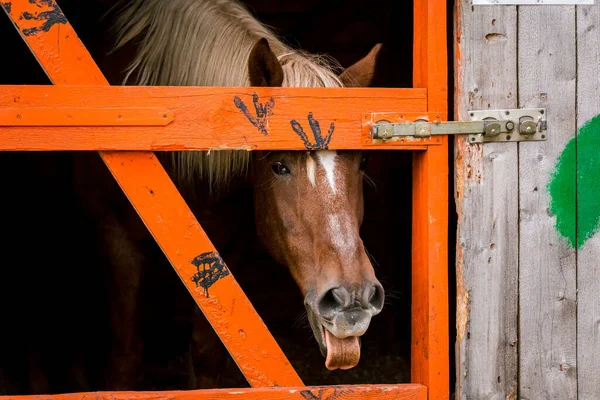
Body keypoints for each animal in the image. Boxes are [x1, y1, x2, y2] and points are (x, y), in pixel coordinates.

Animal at [76, 0, 384, 390]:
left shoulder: (229, 246)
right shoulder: (113, 235)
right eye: (278, 166)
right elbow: (125, 356)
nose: (351, 298)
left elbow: (208, 352)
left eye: (364, 161)